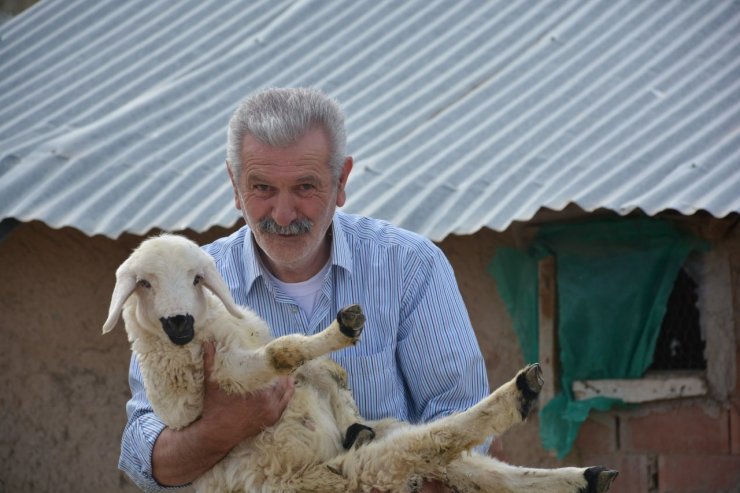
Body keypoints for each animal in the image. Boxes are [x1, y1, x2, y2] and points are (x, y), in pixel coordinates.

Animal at [101, 234, 616, 492]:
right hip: (348, 477)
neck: (208, 333)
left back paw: (586, 477)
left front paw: (338, 372)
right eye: (143, 283)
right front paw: (339, 334)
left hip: (384, 441)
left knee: (476, 469)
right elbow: (282, 352)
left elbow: (303, 364)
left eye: (197, 278)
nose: (178, 323)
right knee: (434, 443)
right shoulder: (214, 382)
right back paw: (521, 395)